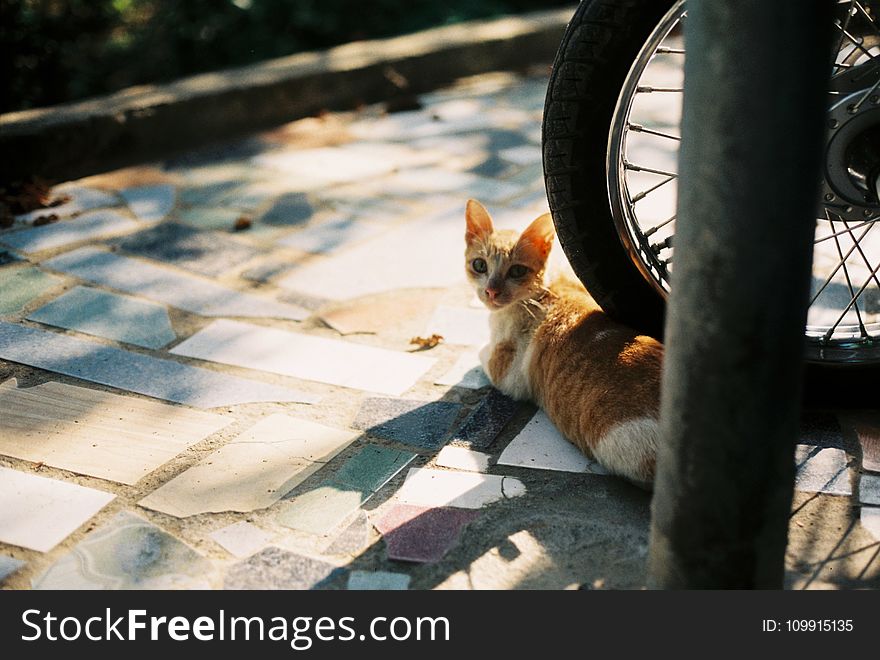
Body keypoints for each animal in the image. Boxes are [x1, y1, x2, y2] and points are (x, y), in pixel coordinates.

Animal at [464, 199, 664, 488]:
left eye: (517, 271)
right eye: (479, 265)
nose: (491, 291)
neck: (545, 291)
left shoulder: (507, 373)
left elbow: (482, 353)